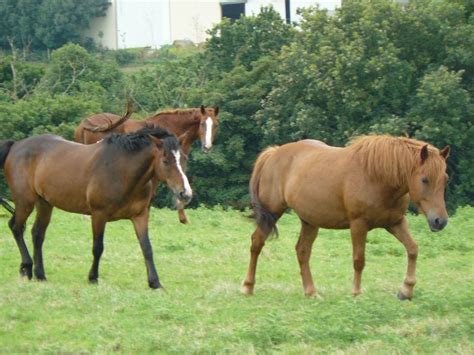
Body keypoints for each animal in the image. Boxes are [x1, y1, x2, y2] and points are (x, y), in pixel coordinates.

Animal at [0, 127, 193, 290]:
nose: (185, 193)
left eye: (183, 158)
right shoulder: (99, 215)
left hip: (45, 203)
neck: (122, 171)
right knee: (16, 228)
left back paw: (40, 275)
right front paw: (93, 277)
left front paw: (155, 282)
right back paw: (26, 268)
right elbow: (98, 247)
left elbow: (147, 248)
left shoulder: (140, 216)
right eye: (166, 160)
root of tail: (16, 145)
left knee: (37, 234)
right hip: (25, 201)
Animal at [243, 136, 450, 300]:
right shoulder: (358, 224)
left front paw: (406, 290)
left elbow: (413, 249)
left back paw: (311, 292)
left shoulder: (395, 223)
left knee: (302, 251)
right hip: (272, 213)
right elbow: (359, 259)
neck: (378, 176)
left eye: (445, 179)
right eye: (425, 179)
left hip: (310, 221)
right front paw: (356, 293)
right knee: (257, 242)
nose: (440, 221)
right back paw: (247, 287)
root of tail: (274, 153)